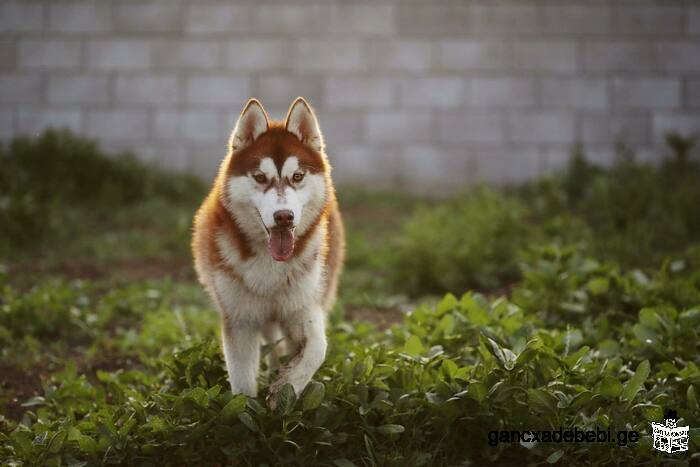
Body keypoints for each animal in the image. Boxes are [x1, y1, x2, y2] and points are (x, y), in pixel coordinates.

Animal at [191, 97, 344, 404]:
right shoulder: (240, 319)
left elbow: (317, 348)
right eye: (260, 177)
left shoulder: (304, 304)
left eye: (297, 176)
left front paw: (288, 385)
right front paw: (249, 409)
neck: (270, 264)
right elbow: (241, 384)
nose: (283, 217)